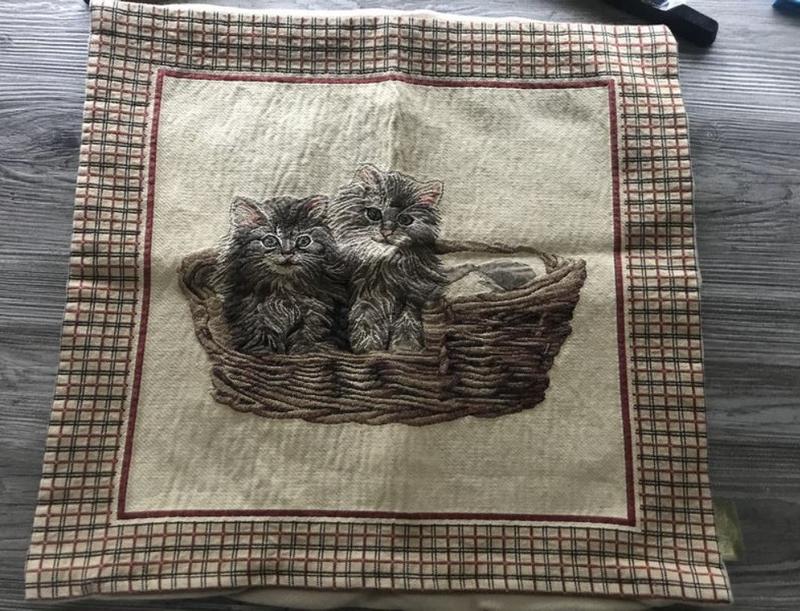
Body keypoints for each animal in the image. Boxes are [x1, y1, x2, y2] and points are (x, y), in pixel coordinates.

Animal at [214, 194, 347, 354]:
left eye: (304, 241)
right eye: (270, 241)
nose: (287, 252)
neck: (283, 289)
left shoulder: (316, 312)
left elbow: (307, 339)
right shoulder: (250, 316)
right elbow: (259, 342)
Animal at [328, 164, 446, 353]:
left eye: (405, 219)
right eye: (374, 214)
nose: (387, 231)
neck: (384, 265)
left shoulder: (415, 292)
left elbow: (408, 319)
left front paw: (405, 346)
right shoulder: (366, 297)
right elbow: (365, 320)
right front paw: (368, 348)